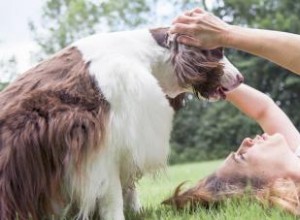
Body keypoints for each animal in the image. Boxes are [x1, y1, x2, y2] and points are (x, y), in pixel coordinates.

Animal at [0, 27, 243, 220]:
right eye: (218, 51)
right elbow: (113, 196)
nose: (241, 78)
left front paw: (138, 211)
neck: (144, 56)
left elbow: (129, 187)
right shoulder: (102, 147)